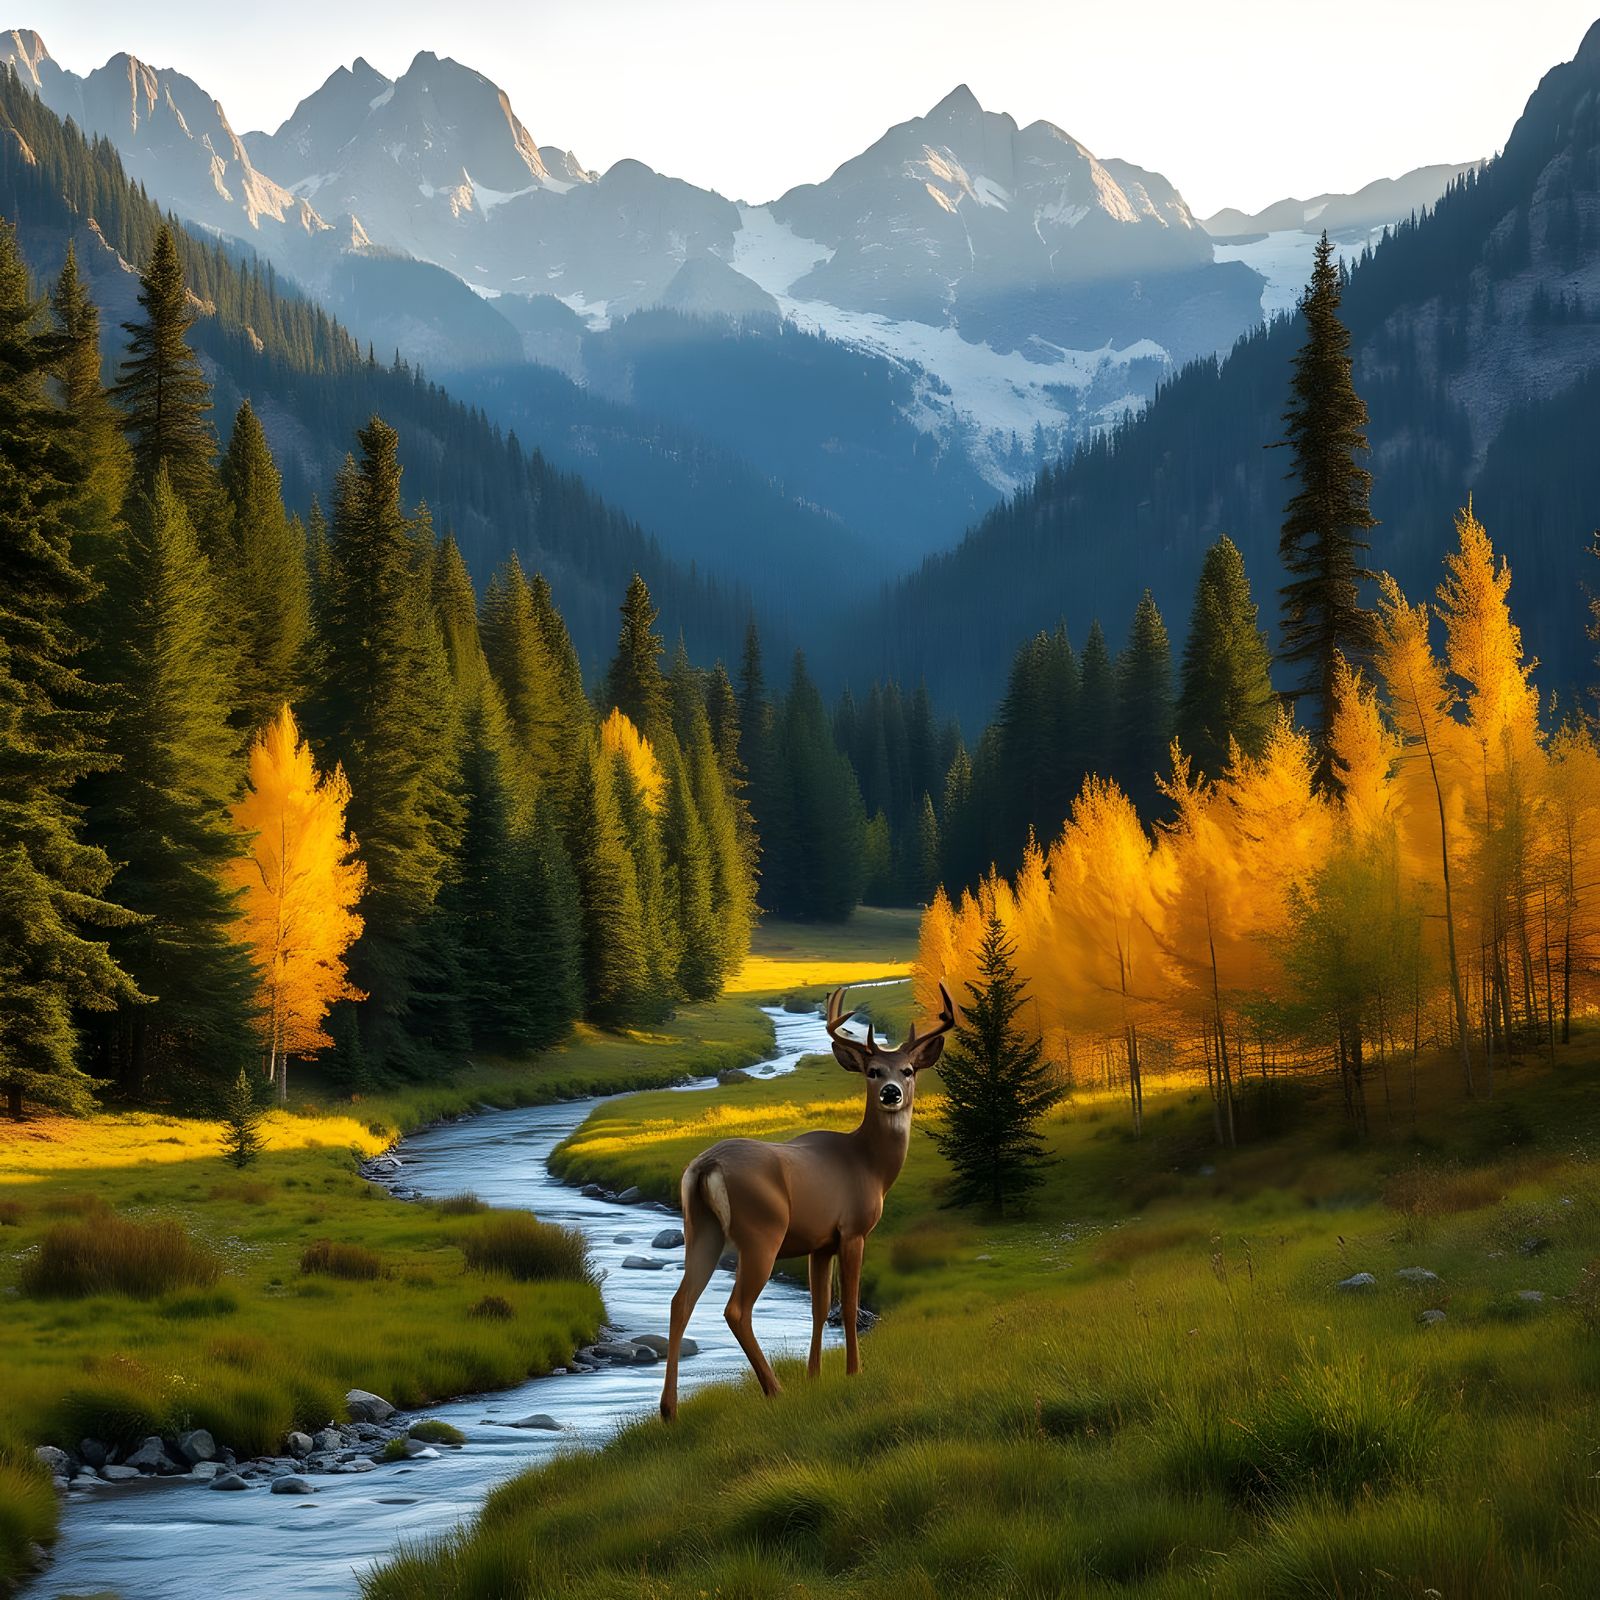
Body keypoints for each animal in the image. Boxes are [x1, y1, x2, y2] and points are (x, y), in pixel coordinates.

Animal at [659, 981, 957, 1422]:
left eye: (908, 1070)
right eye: (873, 1071)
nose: (891, 1093)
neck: (869, 1166)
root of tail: (707, 1164)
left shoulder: (820, 1243)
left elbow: (819, 1307)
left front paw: (814, 1376)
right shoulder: (853, 1231)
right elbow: (848, 1305)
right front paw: (853, 1372)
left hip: (701, 1229)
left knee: (680, 1302)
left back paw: (669, 1410)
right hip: (761, 1231)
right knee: (735, 1309)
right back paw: (773, 1389)